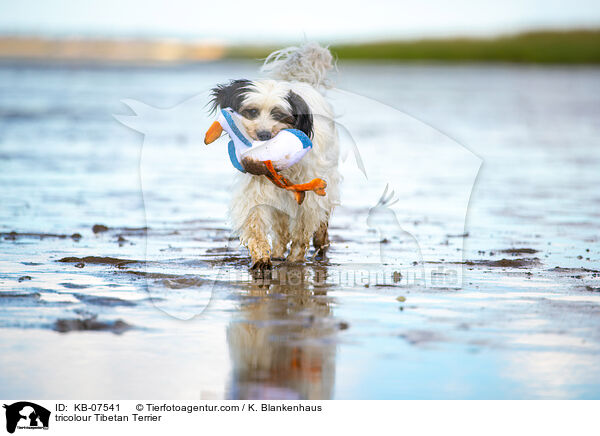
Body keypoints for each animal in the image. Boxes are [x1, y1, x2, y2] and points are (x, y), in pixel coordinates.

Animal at [210, 42, 342, 270]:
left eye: (279, 115)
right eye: (252, 111)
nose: (263, 135)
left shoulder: (308, 193)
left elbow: (302, 230)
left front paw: (296, 259)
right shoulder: (255, 188)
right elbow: (255, 220)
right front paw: (262, 256)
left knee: (321, 216)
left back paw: (320, 243)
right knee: (281, 228)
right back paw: (279, 252)